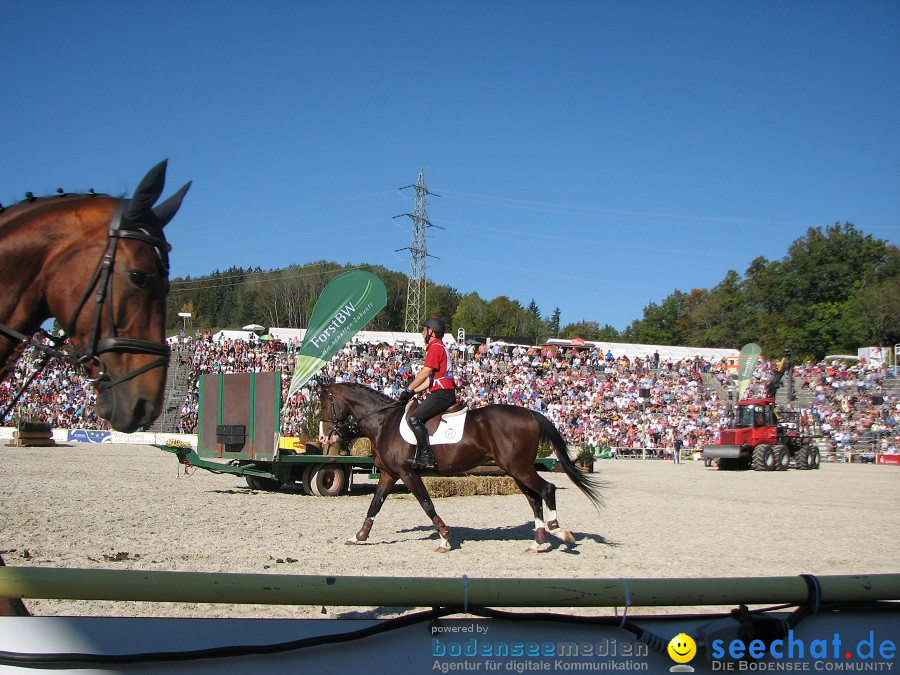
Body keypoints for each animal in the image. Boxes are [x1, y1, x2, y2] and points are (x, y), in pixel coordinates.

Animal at [316, 380, 604, 556]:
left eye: (324, 403)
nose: (324, 437)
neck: (383, 421)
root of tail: (532, 413)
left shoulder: (408, 473)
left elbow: (427, 504)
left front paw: (445, 538)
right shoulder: (390, 473)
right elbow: (374, 505)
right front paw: (359, 536)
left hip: (519, 468)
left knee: (547, 489)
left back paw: (559, 532)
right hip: (516, 470)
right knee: (534, 498)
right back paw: (538, 542)